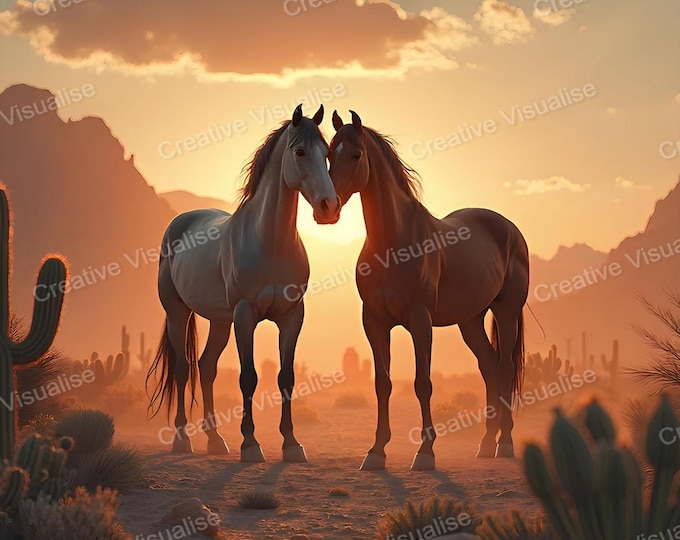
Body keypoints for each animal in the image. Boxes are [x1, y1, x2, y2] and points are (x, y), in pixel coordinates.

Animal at [146, 104, 341, 463]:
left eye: (327, 153)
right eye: (300, 152)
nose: (329, 207)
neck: (271, 244)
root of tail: (181, 222)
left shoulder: (292, 316)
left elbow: (286, 377)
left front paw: (292, 444)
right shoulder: (245, 315)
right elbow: (248, 377)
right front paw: (250, 444)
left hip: (219, 321)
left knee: (206, 367)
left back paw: (214, 440)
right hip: (179, 313)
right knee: (183, 368)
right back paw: (182, 439)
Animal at [328, 110, 529, 471]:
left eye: (356, 155)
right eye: (327, 154)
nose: (329, 206)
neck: (393, 244)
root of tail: (509, 228)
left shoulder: (420, 321)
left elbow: (423, 383)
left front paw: (425, 452)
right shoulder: (374, 322)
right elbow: (383, 383)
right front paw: (375, 452)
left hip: (506, 311)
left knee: (505, 368)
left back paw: (504, 443)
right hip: (470, 320)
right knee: (489, 367)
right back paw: (485, 443)